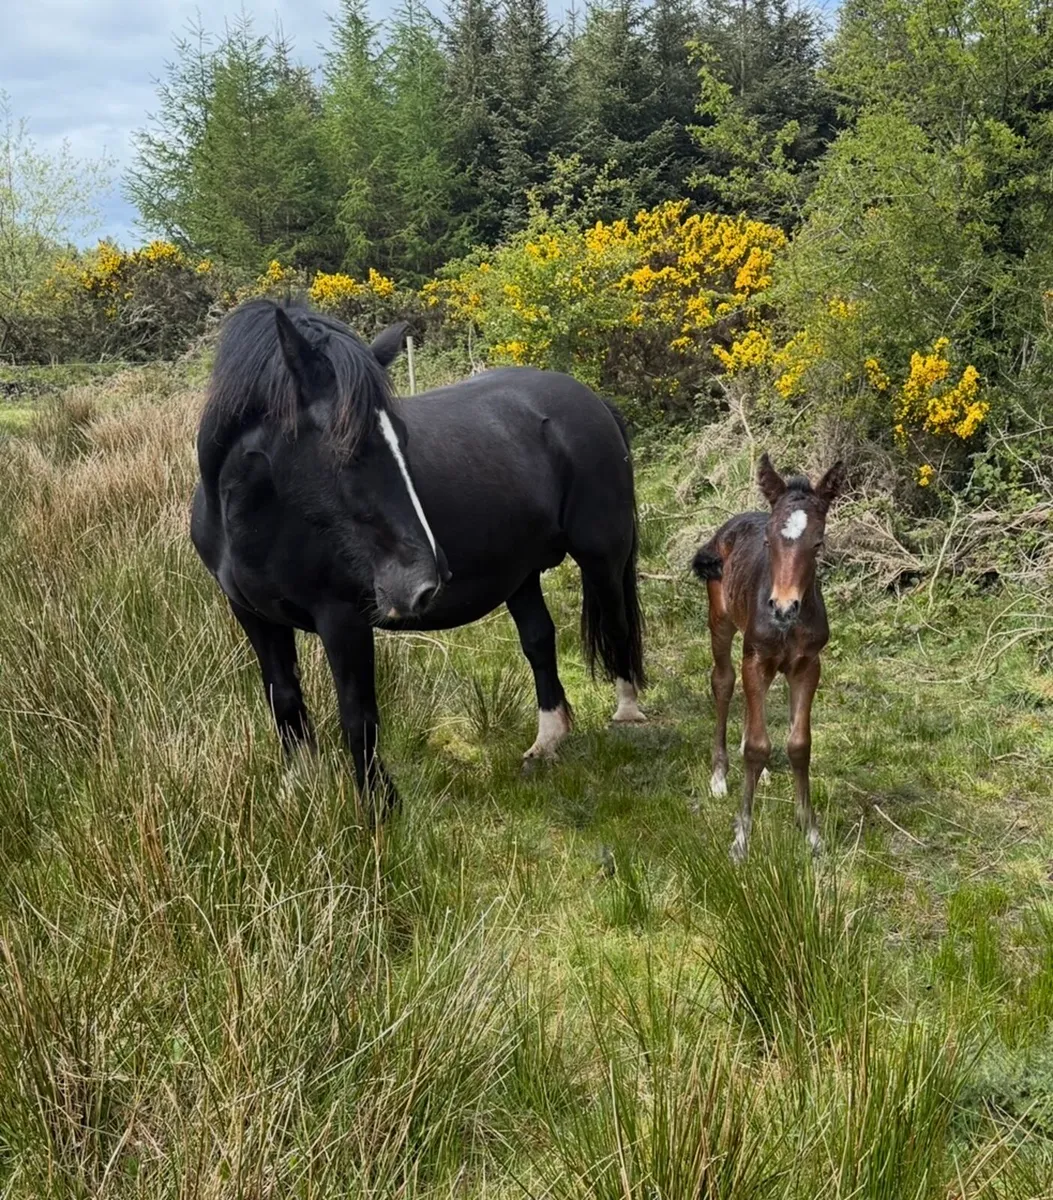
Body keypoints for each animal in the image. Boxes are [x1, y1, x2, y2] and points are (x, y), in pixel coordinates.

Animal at [190, 298, 646, 815]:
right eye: (347, 446)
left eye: (403, 439)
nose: (427, 580)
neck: (256, 522)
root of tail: (592, 401)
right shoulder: (253, 615)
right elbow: (284, 700)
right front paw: (300, 789)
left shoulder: (342, 618)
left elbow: (358, 713)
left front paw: (379, 807)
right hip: (522, 573)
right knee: (538, 640)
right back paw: (546, 742)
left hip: (601, 554)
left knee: (617, 623)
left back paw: (627, 712)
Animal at [691, 453, 845, 861]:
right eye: (768, 540)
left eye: (818, 543)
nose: (783, 607)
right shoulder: (756, 658)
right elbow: (758, 747)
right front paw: (741, 840)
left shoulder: (807, 665)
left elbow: (799, 745)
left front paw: (811, 834)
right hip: (721, 622)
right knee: (724, 682)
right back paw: (718, 775)